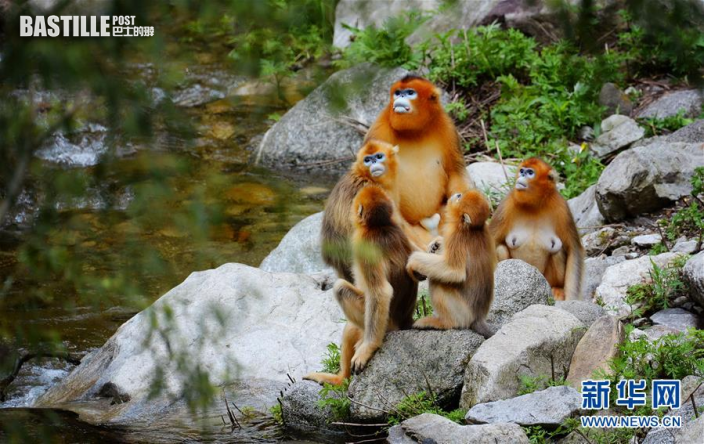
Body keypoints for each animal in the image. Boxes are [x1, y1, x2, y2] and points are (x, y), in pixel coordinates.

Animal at [305, 185, 418, 385]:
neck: (380, 227)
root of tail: (404, 324)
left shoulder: (362, 243)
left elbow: (380, 292)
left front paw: (367, 348)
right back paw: (341, 378)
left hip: (385, 324)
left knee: (341, 289)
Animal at [322, 75, 473, 281]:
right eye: (398, 93)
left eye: (409, 92)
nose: (400, 98)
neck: (415, 131)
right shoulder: (379, 128)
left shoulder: (446, 125)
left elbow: (456, 171)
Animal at [406, 190, 496, 338]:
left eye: (460, 198)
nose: (457, 194)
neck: (471, 229)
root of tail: (478, 318)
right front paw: (436, 243)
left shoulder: (456, 237)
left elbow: (455, 272)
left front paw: (413, 261)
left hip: (462, 313)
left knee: (437, 281)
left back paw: (444, 323)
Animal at [489, 158, 584, 301]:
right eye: (522, 170)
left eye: (530, 173)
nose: (522, 175)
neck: (534, 205)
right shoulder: (507, 205)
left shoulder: (562, 207)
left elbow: (574, 249)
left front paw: (571, 299)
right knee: (500, 248)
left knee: (558, 252)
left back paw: (557, 289)